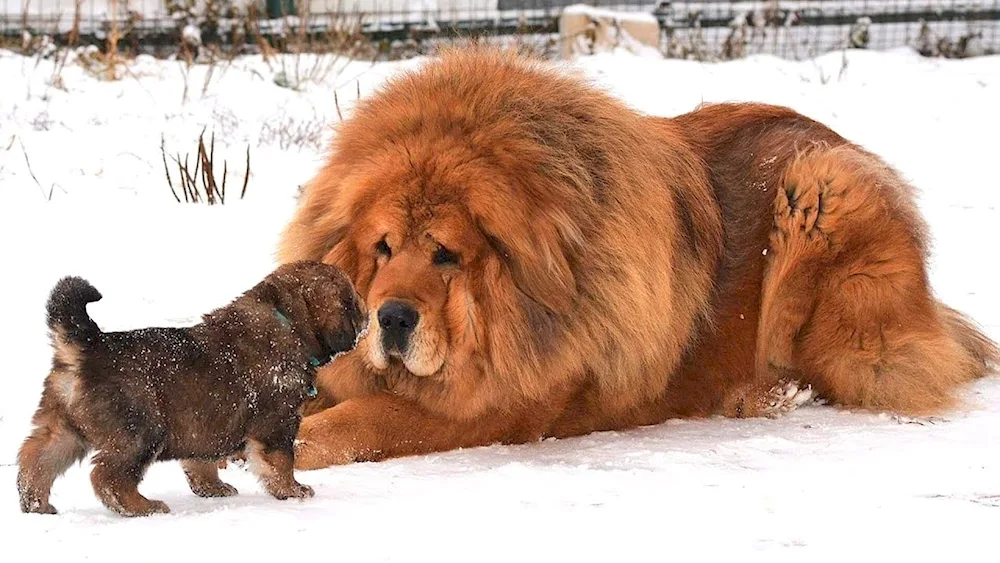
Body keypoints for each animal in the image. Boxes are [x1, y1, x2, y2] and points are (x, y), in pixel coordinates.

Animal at [16, 262, 368, 516]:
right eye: (352, 300)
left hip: (64, 428)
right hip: (140, 431)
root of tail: (88, 346)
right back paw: (142, 507)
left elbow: (201, 462)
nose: (367, 316)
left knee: (37, 459)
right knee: (108, 477)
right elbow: (281, 462)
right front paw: (293, 491)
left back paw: (36, 505)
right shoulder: (277, 423)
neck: (287, 321)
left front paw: (212, 488)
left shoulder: (204, 426)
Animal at [278, 47, 996, 472]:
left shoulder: (496, 406)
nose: (392, 318)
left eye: (447, 254)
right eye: (383, 248)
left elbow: (364, 417)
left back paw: (766, 392)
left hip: (822, 194)